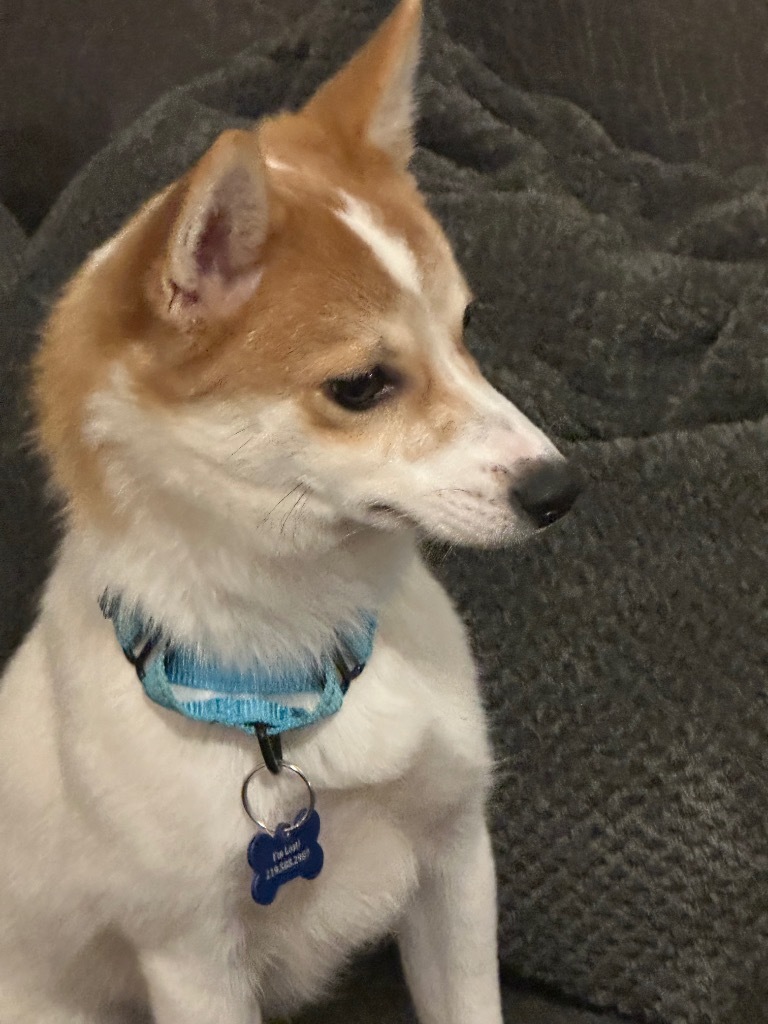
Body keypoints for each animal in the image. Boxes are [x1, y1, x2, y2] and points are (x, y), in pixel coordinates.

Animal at [0, 4, 581, 1019]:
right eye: (361, 385)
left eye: (467, 330)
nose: (559, 489)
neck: (299, 648)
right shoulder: (194, 961)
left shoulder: (457, 866)